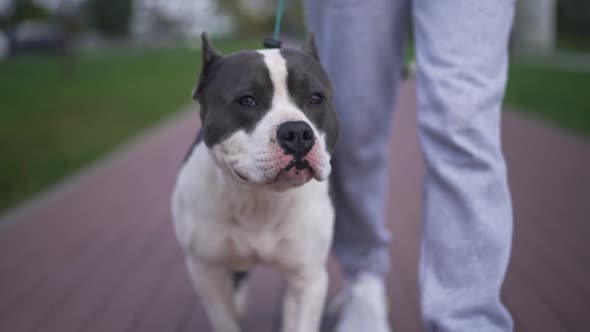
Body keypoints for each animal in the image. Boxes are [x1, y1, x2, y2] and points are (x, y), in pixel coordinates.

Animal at [171, 33, 340, 332]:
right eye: (246, 100)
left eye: (315, 98)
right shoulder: (206, 271)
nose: (297, 132)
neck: (259, 199)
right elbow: (225, 320)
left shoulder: (308, 277)